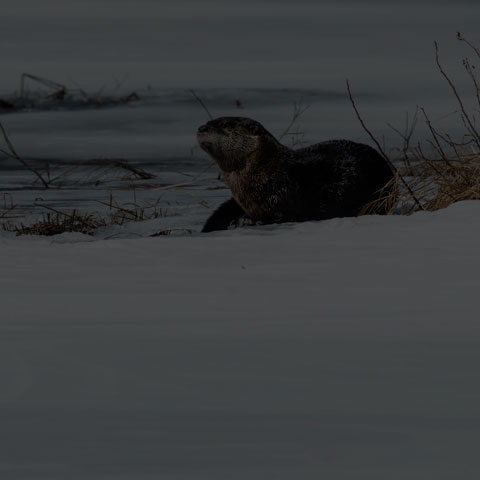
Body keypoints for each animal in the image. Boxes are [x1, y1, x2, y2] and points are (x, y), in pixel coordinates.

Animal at [197, 118, 396, 234]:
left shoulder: (285, 193)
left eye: (226, 125)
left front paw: (245, 221)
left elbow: (285, 216)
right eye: (209, 120)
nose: (202, 127)